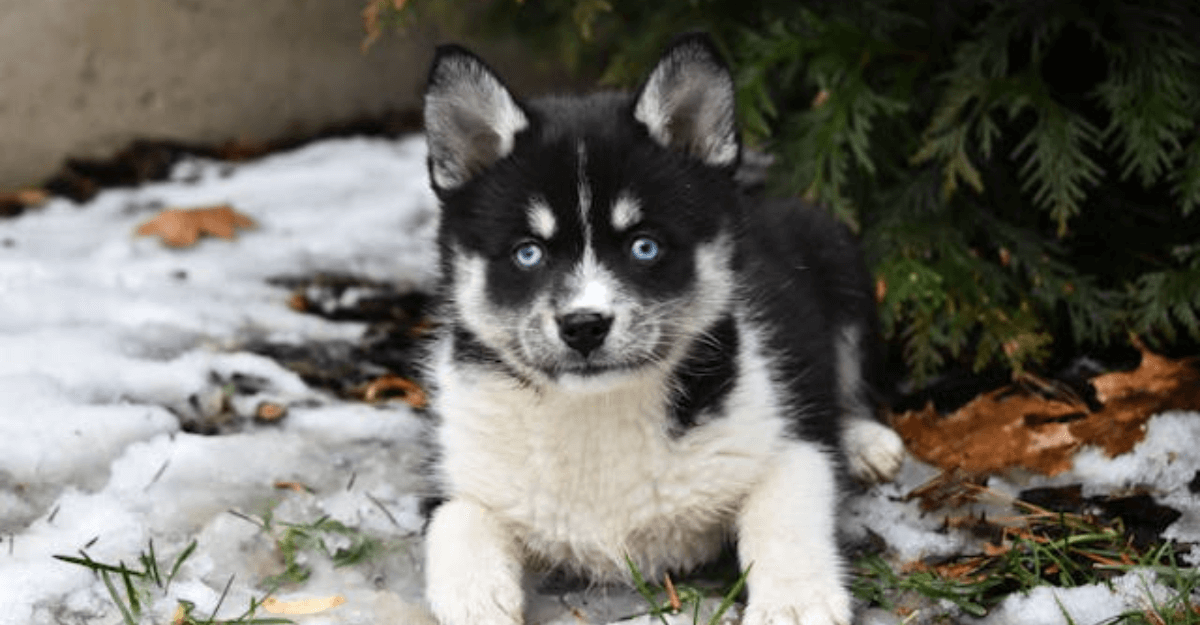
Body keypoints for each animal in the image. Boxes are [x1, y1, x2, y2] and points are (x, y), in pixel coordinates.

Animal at [420, 32, 902, 623]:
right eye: (527, 253)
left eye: (644, 246)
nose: (584, 326)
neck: (596, 410)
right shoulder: (455, 469)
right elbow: (455, 518)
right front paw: (475, 596)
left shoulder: (787, 440)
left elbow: (784, 515)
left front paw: (796, 599)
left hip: (839, 255)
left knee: (849, 387)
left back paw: (864, 441)